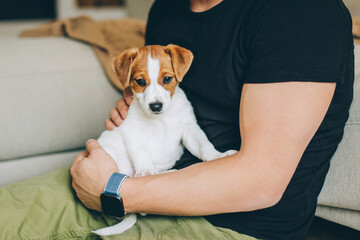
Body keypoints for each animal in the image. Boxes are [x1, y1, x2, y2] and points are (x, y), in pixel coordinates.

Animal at [94, 44, 238, 235]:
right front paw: (146, 171)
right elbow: (142, 154)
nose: (155, 106)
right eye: (140, 82)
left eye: (167, 78)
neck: (161, 119)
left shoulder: (189, 129)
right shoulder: (134, 133)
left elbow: (204, 147)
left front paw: (218, 156)